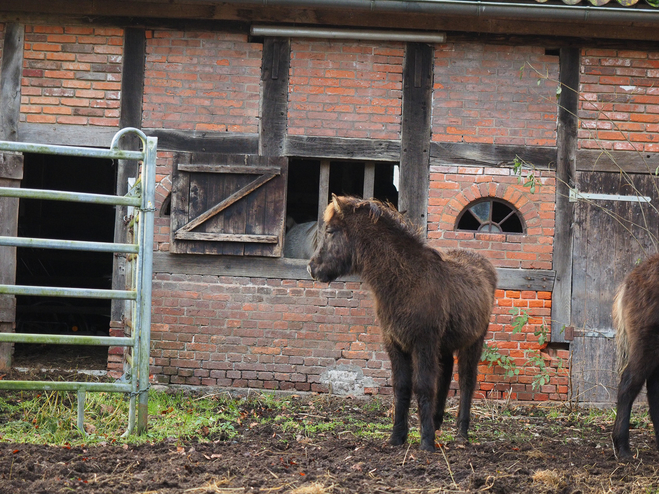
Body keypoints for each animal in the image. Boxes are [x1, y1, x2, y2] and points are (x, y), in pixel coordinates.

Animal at [306, 195, 498, 450]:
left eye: (330, 231)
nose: (312, 268)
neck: (406, 280)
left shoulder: (423, 344)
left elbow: (423, 386)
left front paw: (426, 442)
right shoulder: (395, 344)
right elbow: (402, 387)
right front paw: (397, 437)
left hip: (473, 342)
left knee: (467, 380)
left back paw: (461, 432)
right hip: (445, 345)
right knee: (446, 374)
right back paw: (437, 422)